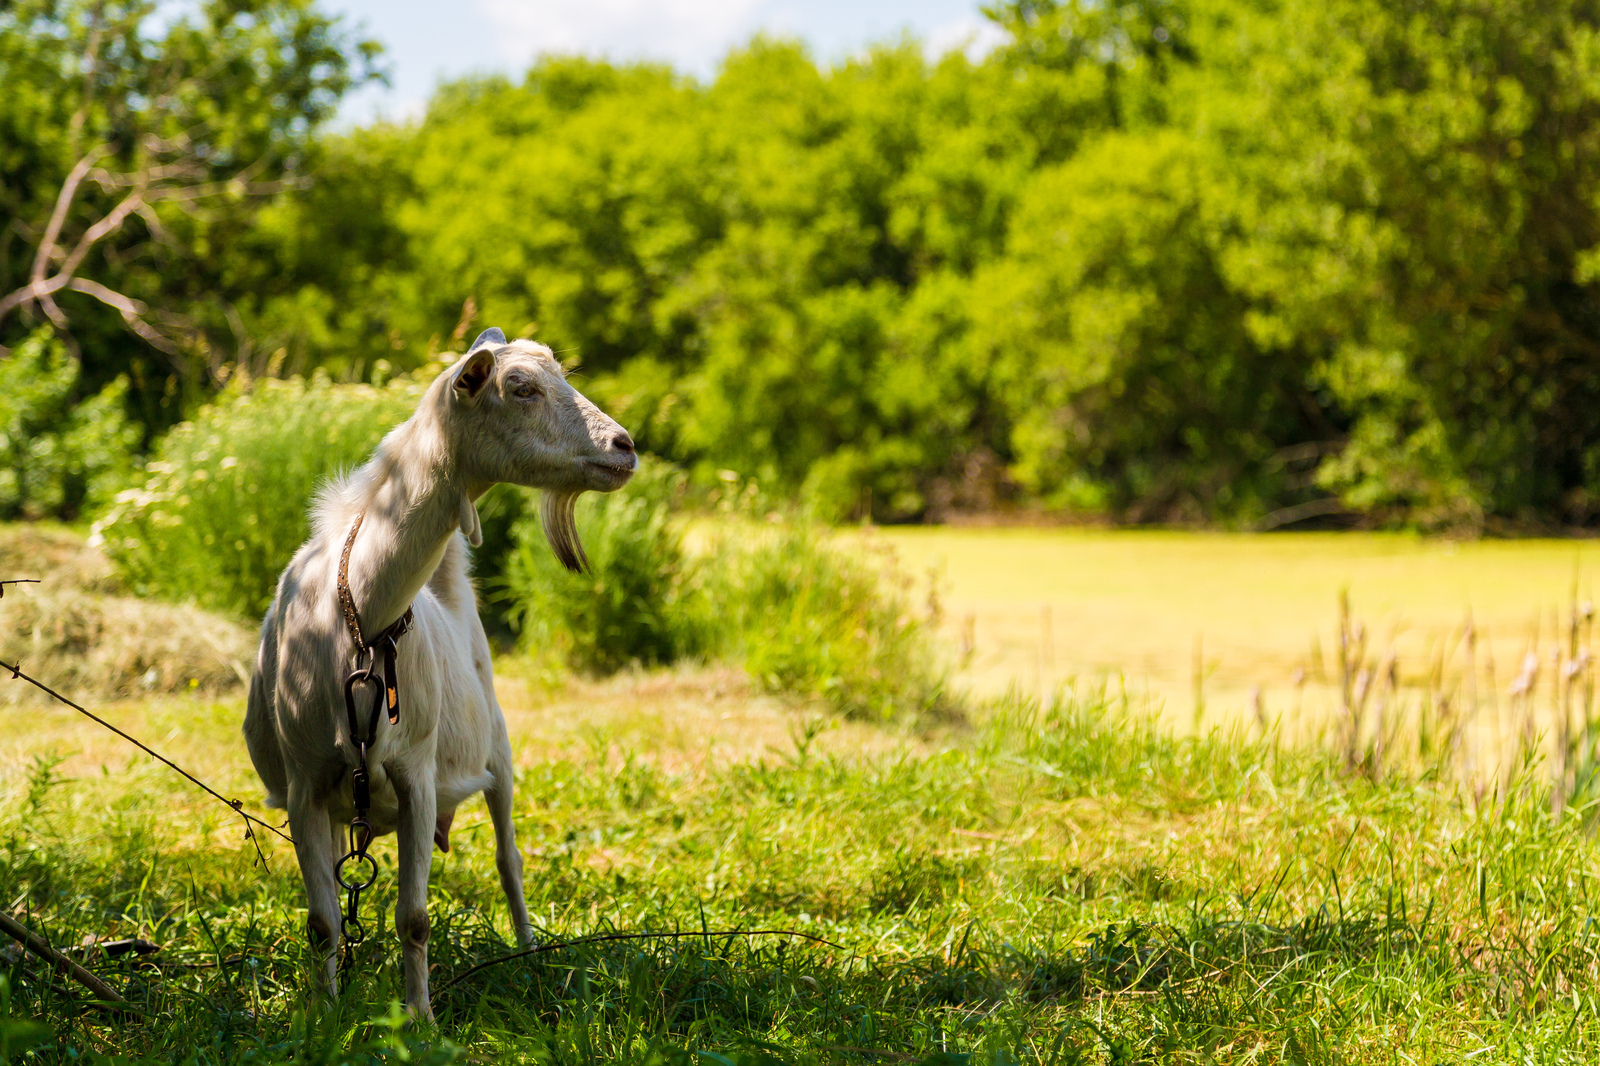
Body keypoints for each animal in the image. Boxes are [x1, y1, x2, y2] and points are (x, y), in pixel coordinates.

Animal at [243, 326, 630, 1011]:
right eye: (520, 387)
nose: (626, 447)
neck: (361, 617)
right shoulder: (303, 783)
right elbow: (323, 923)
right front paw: (324, 1015)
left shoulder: (415, 773)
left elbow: (415, 919)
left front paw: (419, 1017)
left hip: (498, 748)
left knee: (509, 860)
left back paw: (529, 957)